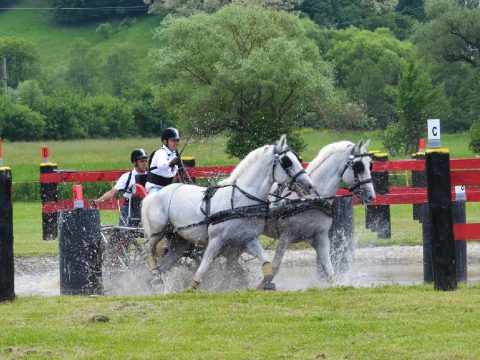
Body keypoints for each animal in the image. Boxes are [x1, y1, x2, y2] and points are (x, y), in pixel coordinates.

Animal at [142, 135, 316, 290]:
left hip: (179, 241)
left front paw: (266, 285)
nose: (310, 186)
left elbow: (267, 264)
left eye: (297, 158)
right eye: (287, 162)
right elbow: (203, 268)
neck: (241, 201)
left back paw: (154, 281)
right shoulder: (215, 240)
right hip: (158, 232)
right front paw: (190, 289)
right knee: (149, 250)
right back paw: (154, 276)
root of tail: (153, 196)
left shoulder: (247, 240)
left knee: (166, 264)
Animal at [264, 139, 376, 282]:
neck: (310, 198)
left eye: (370, 165)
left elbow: (329, 270)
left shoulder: (321, 237)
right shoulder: (286, 236)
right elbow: (274, 267)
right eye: (359, 166)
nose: (371, 196)